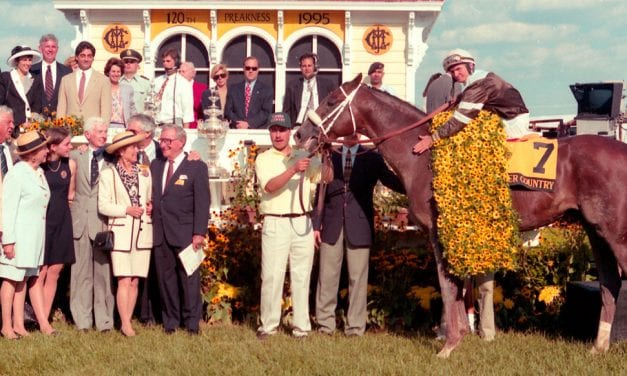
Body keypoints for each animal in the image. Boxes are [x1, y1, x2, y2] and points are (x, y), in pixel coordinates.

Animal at [296, 74, 627, 358]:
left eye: (330, 100)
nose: (300, 133)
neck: (422, 157)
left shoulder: (438, 231)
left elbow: (447, 284)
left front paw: (449, 343)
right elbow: (457, 284)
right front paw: (458, 336)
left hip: (615, 232)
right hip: (594, 230)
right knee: (609, 283)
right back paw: (598, 346)